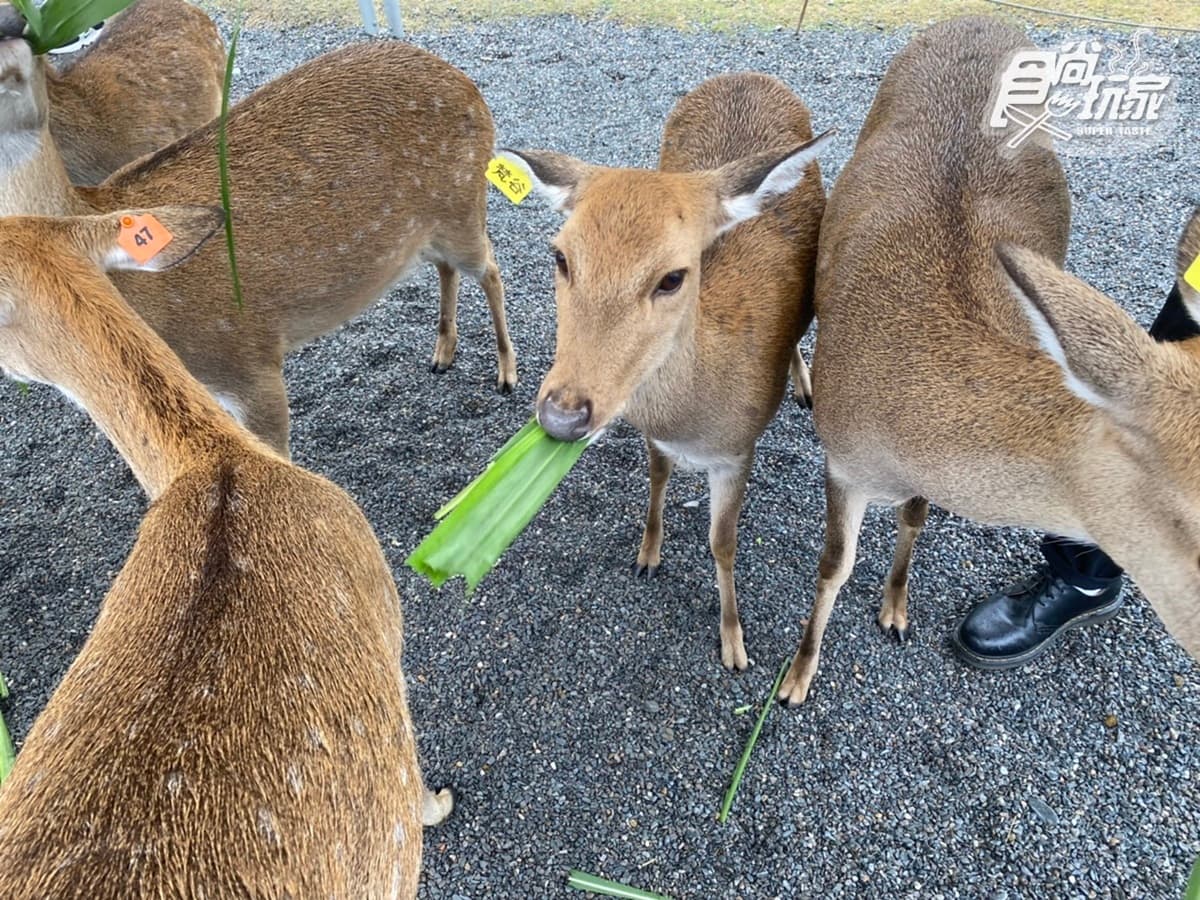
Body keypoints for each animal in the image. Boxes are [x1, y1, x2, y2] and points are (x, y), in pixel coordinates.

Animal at [0, 36, 516, 455]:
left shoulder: (248, 358)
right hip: (427, 232)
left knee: (491, 267)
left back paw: (506, 374)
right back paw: (442, 353)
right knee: (446, 267)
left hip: (463, 204)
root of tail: (469, 84)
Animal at [506, 72, 830, 671]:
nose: (562, 417)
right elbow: (656, 477)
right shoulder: (655, 435)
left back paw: (803, 384)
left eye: (673, 277)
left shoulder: (738, 448)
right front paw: (647, 555)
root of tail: (747, 74)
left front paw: (734, 643)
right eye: (560, 256)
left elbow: (723, 543)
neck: (692, 420)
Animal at [779, 14, 1200, 706]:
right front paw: (795, 678)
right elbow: (833, 566)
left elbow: (916, 517)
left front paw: (896, 609)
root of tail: (984, 17)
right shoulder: (840, 457)